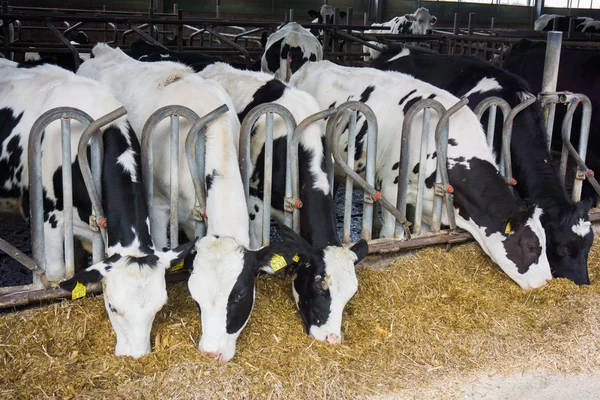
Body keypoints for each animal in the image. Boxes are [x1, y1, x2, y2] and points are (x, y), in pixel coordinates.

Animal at [290, 59, 552, 290]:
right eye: (532, 246)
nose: (547, 281)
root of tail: (313, 64)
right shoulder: (391, 189)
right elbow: (390, 234)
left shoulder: (427, 208)